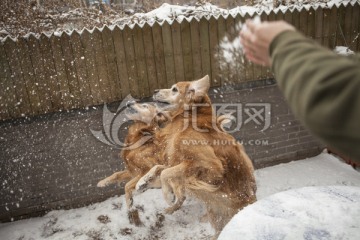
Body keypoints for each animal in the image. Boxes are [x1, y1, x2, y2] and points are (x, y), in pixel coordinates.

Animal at [135, 75, 256, 238]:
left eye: (174, 89)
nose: (154, 91)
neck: (189, 119)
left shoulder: (208, 166)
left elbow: (165, 172)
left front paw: (168, 195)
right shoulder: (178, 160)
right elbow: (159, 167)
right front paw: (143, 182)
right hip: (215, 214)